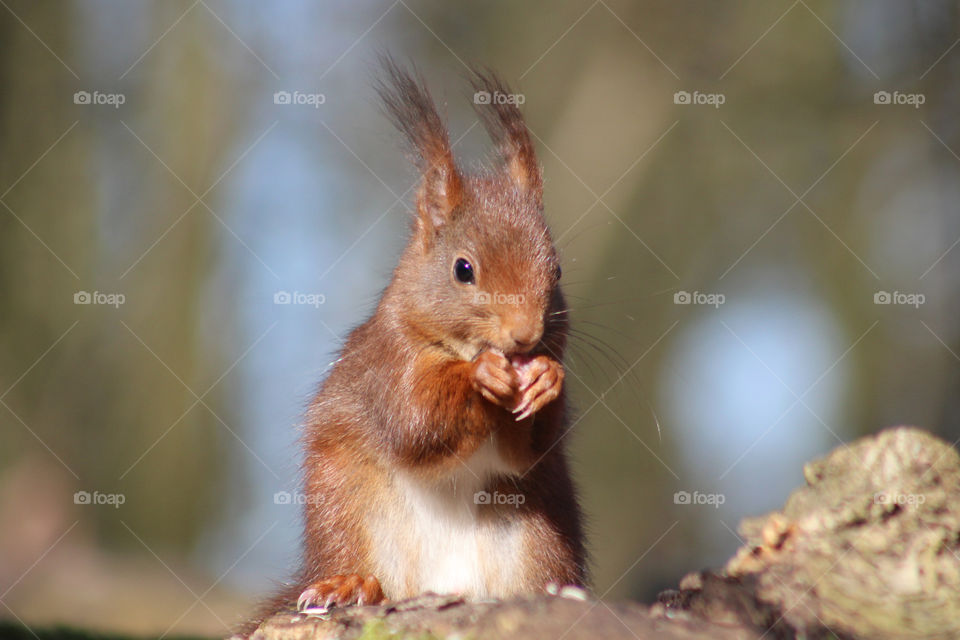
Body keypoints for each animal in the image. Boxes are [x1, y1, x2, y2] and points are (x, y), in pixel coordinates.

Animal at [240, 58, 586, 635]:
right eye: (463, 269)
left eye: (557, 271)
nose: (524, 336)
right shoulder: (388, 362)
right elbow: (413, 422)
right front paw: (482, 377)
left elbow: (523, 453)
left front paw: (545, 379)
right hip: (345, 504)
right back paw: (349, 583)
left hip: (538, 534)